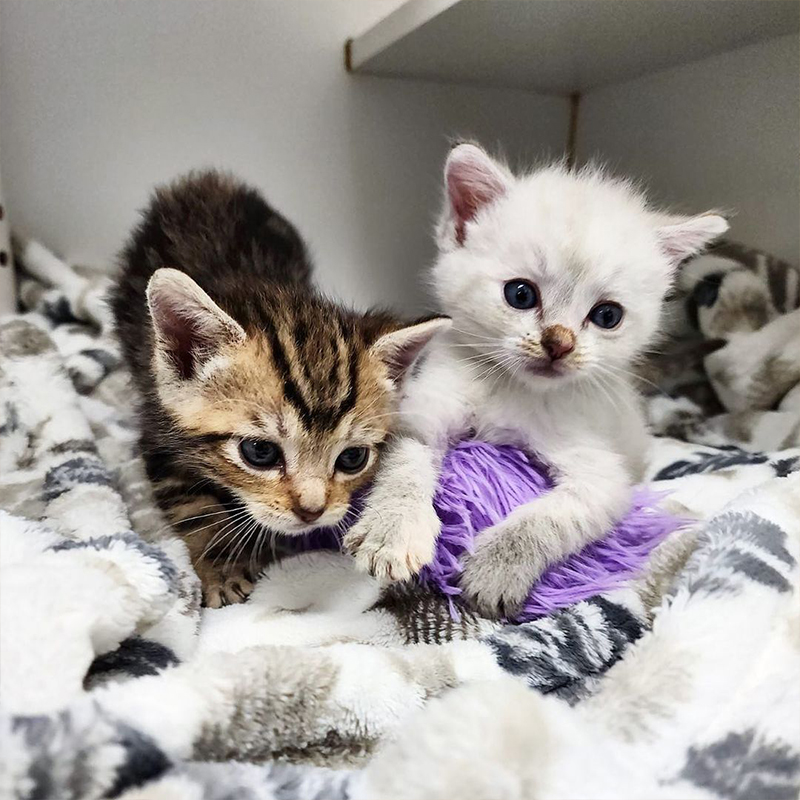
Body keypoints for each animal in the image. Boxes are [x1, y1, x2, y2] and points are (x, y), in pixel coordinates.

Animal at [112, 169, 450, 608]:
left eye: (353, 458)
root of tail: (205, 179)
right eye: (259, 452)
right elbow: (195, 508)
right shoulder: (157, 429)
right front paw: (223, 566)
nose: (312, 511)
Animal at [344, 144, 724, 620]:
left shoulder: (603, 479)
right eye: (521, 294)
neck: (512, 389)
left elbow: (550, 517)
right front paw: (392, 531)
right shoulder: (421, 416)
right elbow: (404, 466)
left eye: (607, 315)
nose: (559, 343)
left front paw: (496, 569)